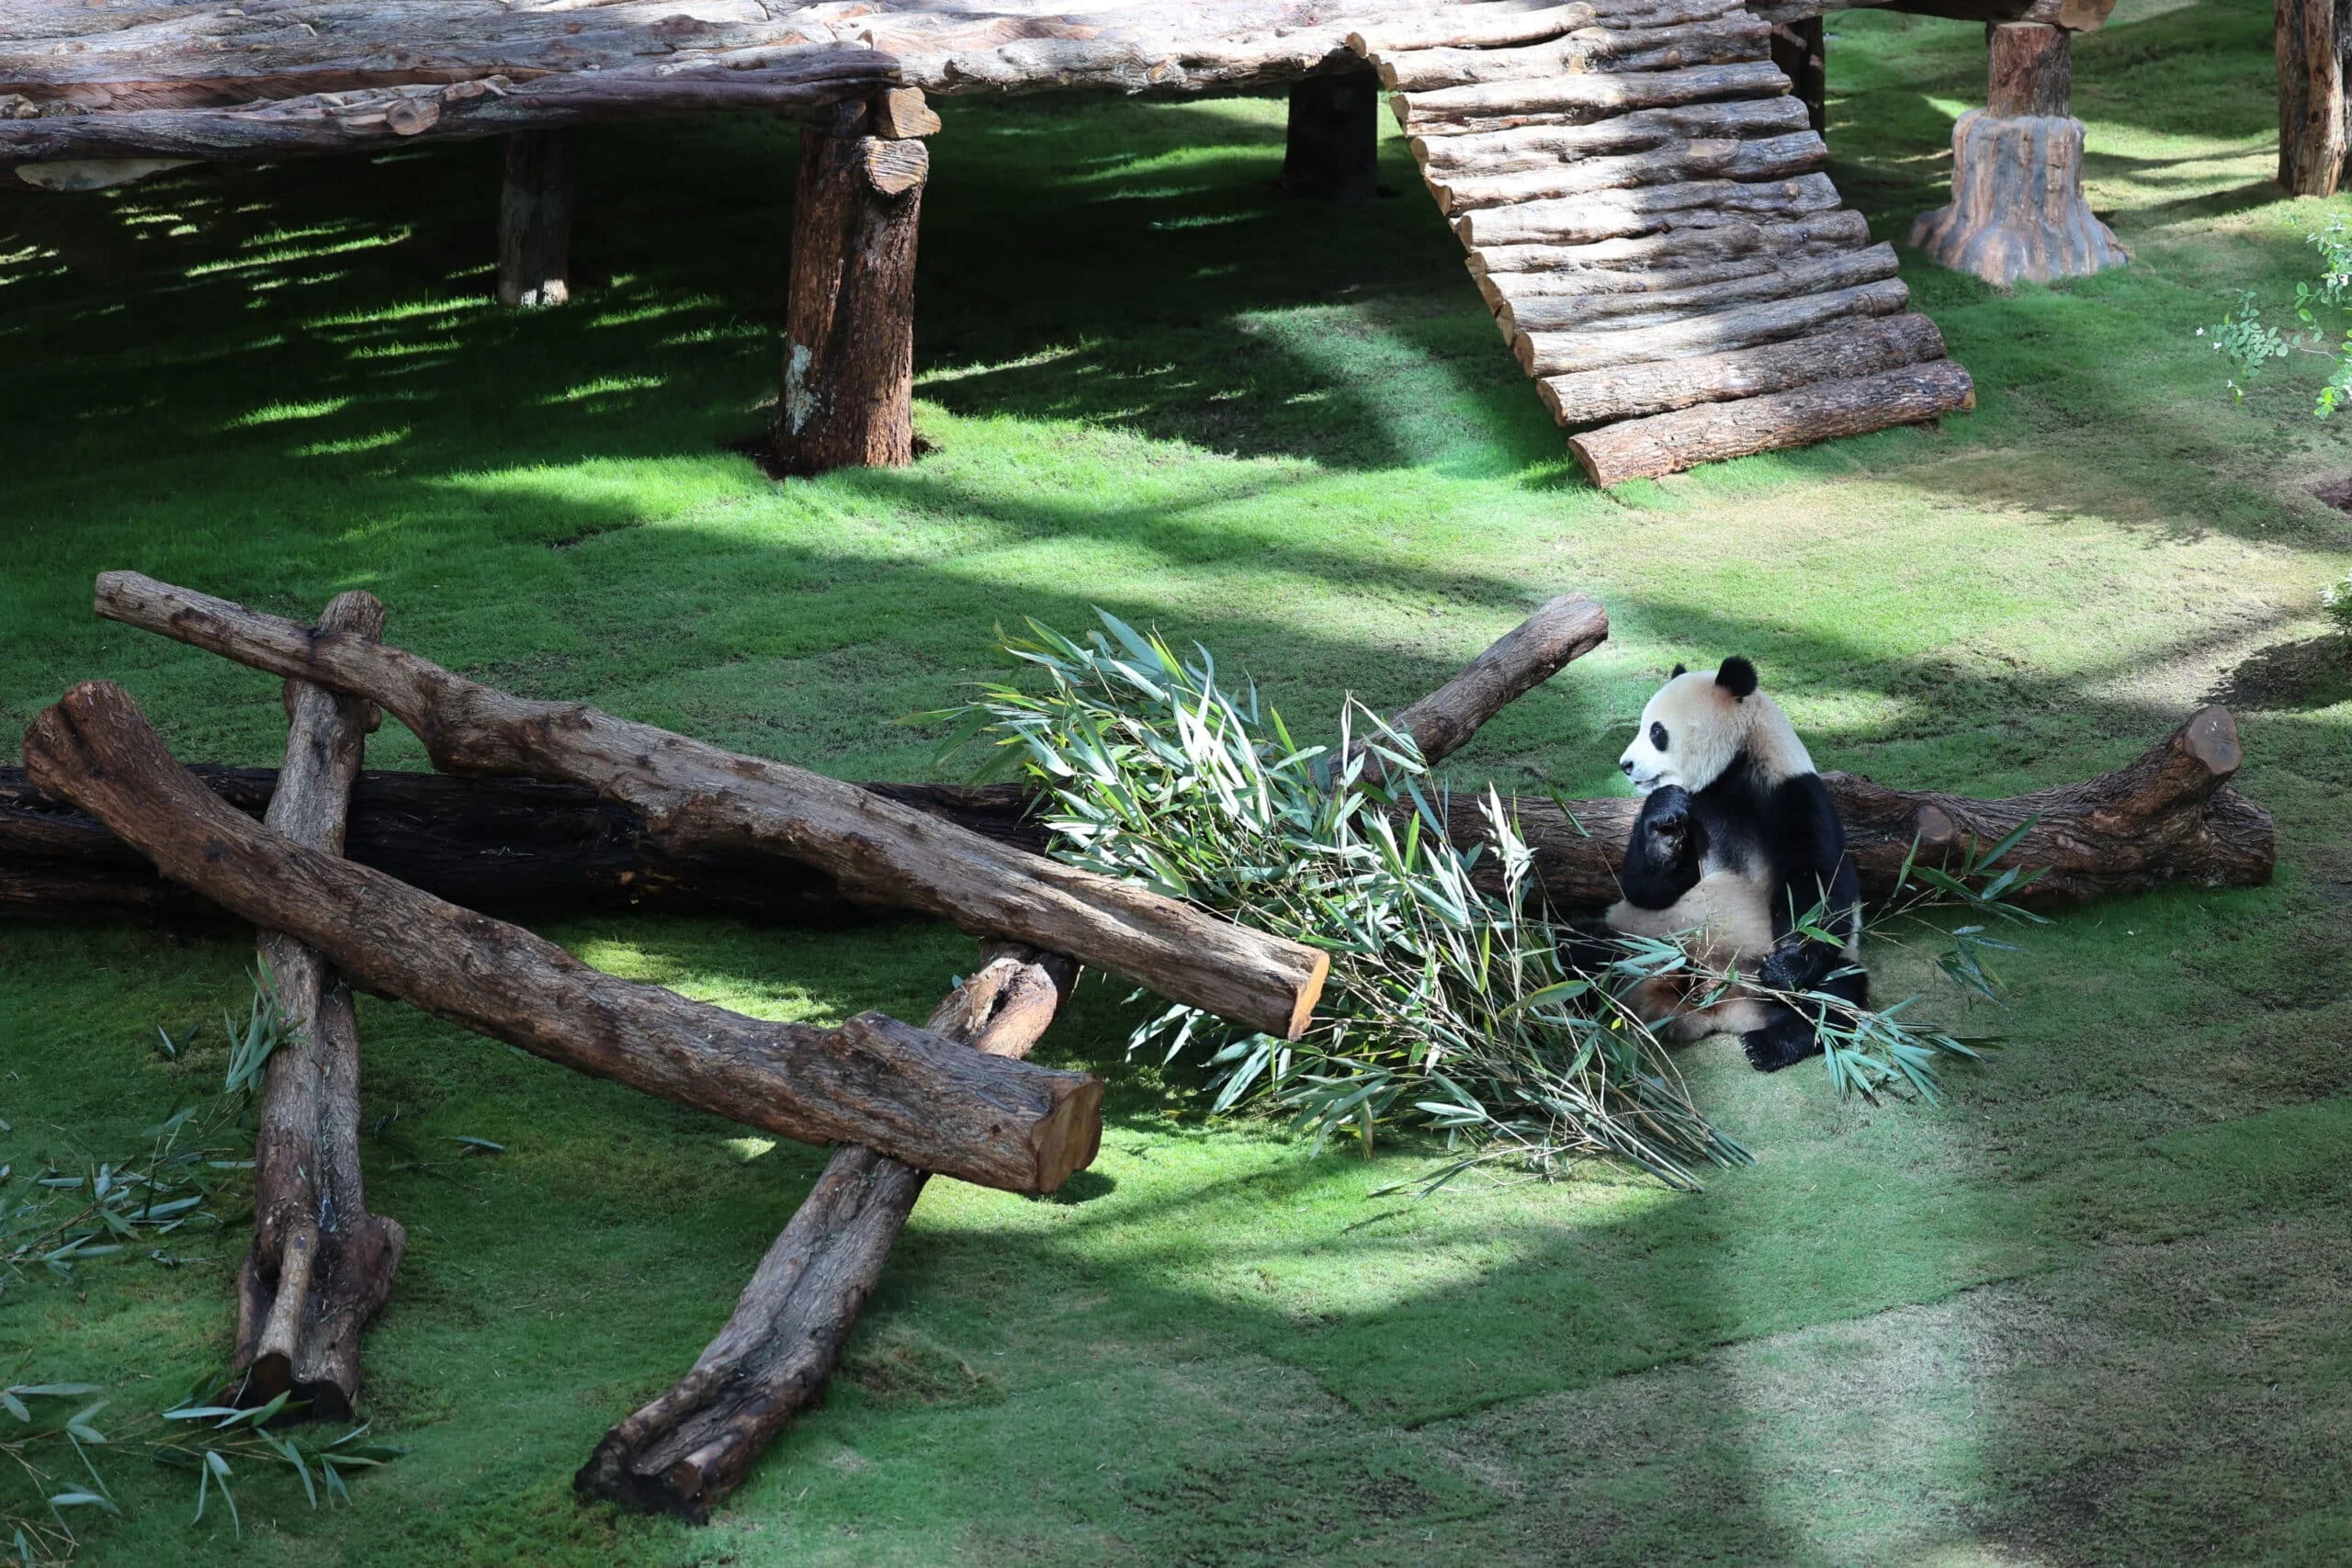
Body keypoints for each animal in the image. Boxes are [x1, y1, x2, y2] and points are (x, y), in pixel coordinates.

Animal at [1595, 655, 1867, 1072]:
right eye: (1643, 725)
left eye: (1657, 732)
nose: (1626, 765)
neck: (1729, 771)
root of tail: (1716, 1007)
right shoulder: (1696, 810)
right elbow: (1647, 889)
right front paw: (1665, 813)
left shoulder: (1792, 793)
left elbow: (1819, 890)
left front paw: (1784, 968)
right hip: (1637, 939)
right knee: (1579, 946)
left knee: (1836, 996)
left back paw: (1768, 1044)